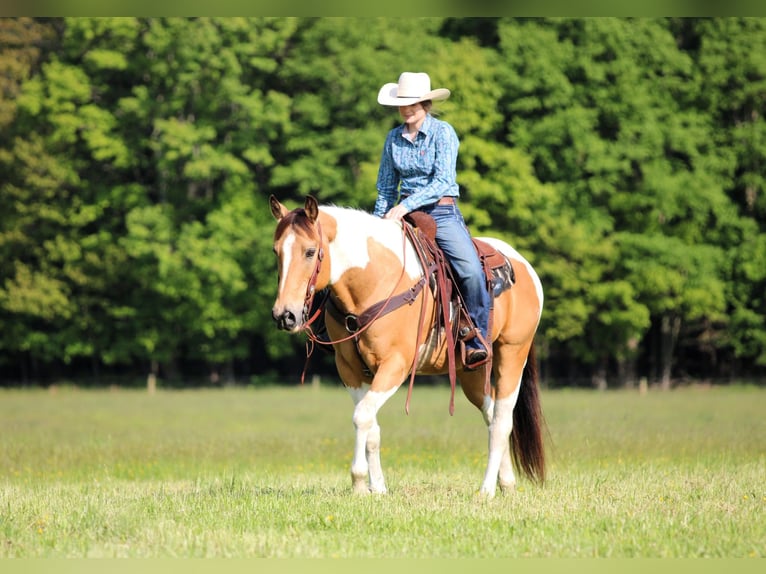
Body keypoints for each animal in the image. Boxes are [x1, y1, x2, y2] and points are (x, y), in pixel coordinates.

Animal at [269, 195, 545, 498]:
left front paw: (358, 482)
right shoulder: (349, 369)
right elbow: (371, 426)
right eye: (276, 251)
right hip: (471, 371)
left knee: (502, 422)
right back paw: (506, 483)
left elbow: (362, 416)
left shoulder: (396, 365)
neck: (375, 281)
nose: (284, 315)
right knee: (491, 414)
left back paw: (486, 490)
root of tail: (524, 265)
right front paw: (377, 487)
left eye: (310, 252)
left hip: (512, 354)